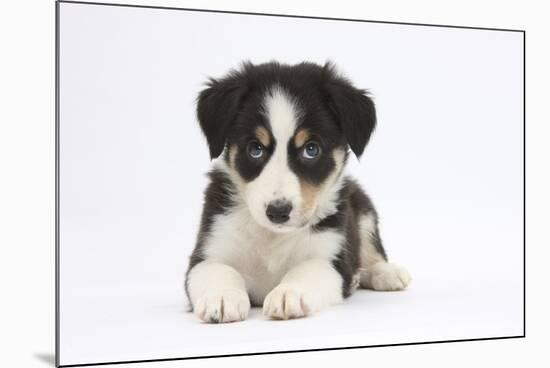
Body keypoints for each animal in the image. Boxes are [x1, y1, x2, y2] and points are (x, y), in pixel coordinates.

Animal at [185, 60, 410, 322]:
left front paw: (288, 293)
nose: (278, 212)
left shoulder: (331, 258)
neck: (272, 236)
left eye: (311, 149)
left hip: (363, 208)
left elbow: (307, 269)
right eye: (255, 149)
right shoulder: (209, 249)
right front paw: (221, 298)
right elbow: (218, 270)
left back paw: (386, 273)